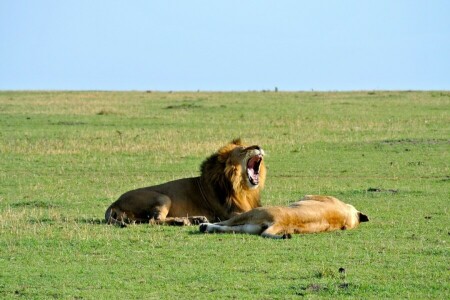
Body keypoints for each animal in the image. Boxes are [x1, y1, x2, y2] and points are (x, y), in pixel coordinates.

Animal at [104, 139, 268, 226]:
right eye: (242, 150)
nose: (259, 146)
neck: (243, 189)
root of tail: (114, 203)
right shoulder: (229, 213)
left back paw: (195, 219)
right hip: (163, 197)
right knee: (154, 220)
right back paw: (183, 221)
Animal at [199, 195, 368, 239]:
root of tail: (280, 222)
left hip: (253, 214)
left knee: (226, 222)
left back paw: (203, 225)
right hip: (249, 227)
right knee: (226, 227)